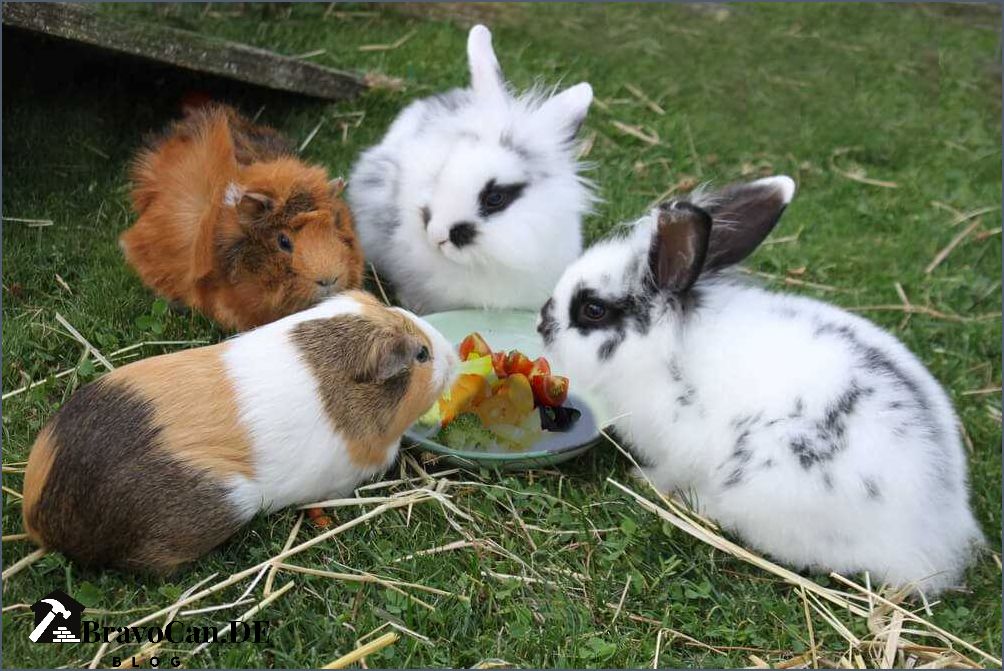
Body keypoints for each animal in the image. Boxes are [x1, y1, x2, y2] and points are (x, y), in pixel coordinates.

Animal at [537, 176, 983, 595]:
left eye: (593, 310)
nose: (542, 323)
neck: (663, 350)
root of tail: (935, 533)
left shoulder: (678, 448)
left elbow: (667, 470)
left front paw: (642, 479)